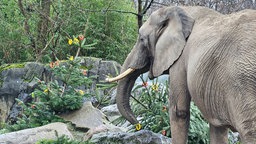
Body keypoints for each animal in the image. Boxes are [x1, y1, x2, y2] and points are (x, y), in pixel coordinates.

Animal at [106, 5, 256, 144]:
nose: (138, 124)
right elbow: (217, 127)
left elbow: (179, 112)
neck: (181, 10)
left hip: (242, 81)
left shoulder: (180, 59)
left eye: (142, 39)